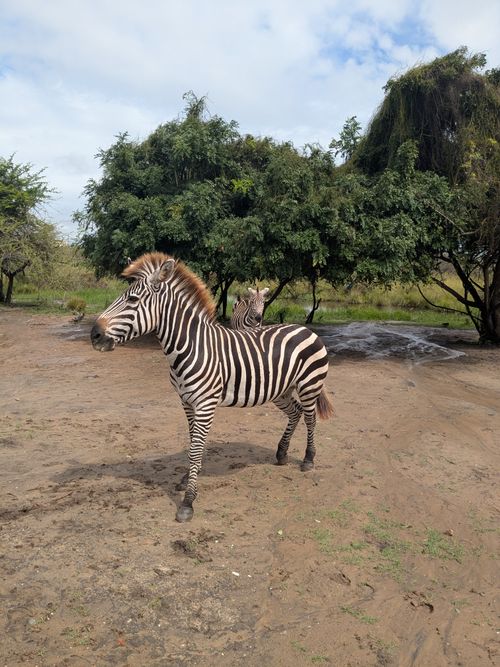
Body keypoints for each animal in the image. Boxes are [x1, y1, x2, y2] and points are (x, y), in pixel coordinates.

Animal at [91, 253, 333, 523]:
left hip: (309, 384)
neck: (189, 346)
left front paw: (187, 502)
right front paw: (186, 479)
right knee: (295, 413)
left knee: (310, 418)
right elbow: (191, 444)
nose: (94, 335)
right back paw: (281, 454)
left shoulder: (205, 403)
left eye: (132, 300)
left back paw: (308, 460)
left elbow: (196, 449)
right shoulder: (186, 402)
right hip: (280, 390)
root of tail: (304, 328)